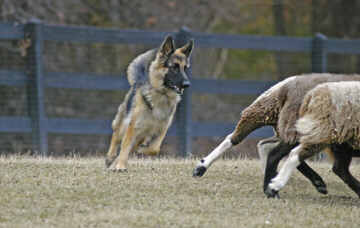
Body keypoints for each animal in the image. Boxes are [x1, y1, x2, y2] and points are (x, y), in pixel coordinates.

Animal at [105, 35, 193, 171]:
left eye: (185, 68)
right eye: (174, 67)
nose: (187, 84)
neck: (162, 94)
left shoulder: (162, 128)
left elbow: (154, 148)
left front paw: (140, 151)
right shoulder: (133, 126)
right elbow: (125, 145)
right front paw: (120, 166)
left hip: (143, 133)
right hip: (124, 123)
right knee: (116, 135)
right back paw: (111, 157)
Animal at [194, 73, 360, 196]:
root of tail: (287, 86)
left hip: (272, 114)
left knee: (242, 140)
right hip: (309, 128)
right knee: (282, 153)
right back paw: (274, 187)